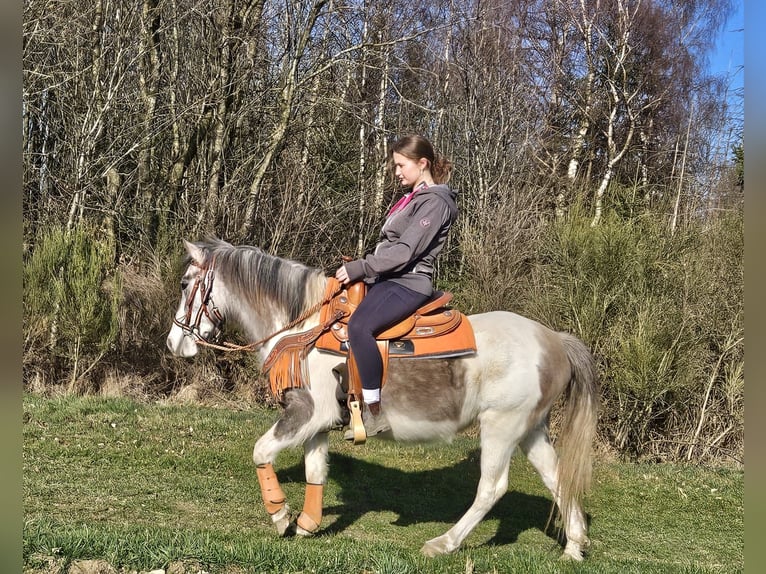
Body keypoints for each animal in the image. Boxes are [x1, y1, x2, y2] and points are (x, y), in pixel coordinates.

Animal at [165, 238, 599, 560]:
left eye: (186, 284)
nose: (173, 343)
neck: (304, 328)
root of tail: (554, 341)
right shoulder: (318, 424)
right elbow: (315, 472)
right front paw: (307, 523)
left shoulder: (305, 412)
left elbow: (261, 451)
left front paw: (280, 515)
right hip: (531, 429)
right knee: (557, 477)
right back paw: (574, 547)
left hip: (501, 426)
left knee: (491, 488)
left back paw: (443, 543)